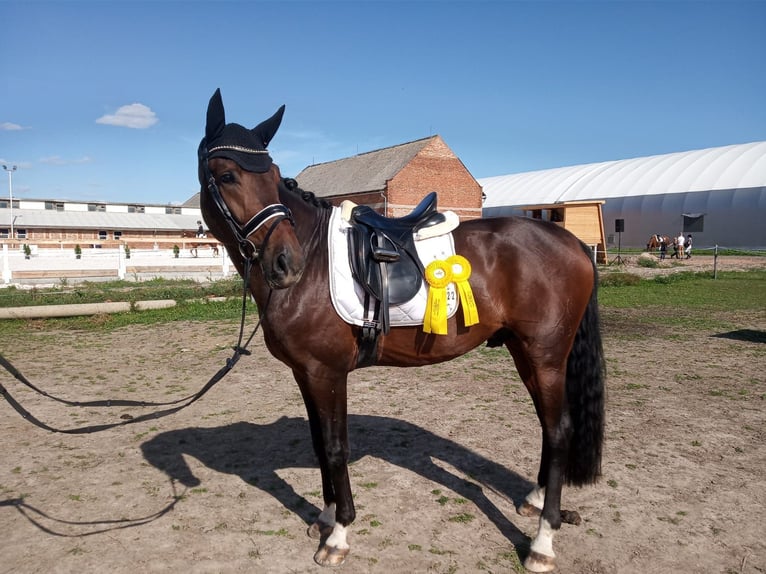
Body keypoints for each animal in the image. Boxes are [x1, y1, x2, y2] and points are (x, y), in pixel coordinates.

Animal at [196, 89, 608, 572]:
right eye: (226, 175)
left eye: (275, 176)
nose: (285, 263)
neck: (315, 260)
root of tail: (573, 243)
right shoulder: (305, 374)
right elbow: (318, 443)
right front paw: (325, 516)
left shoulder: (326, 373)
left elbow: (335, 447)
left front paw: (339, 534)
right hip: (524, 352)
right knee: (549, 426)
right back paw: (536, 500)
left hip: (546, 355)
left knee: (559, 431)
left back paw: (543, 541)